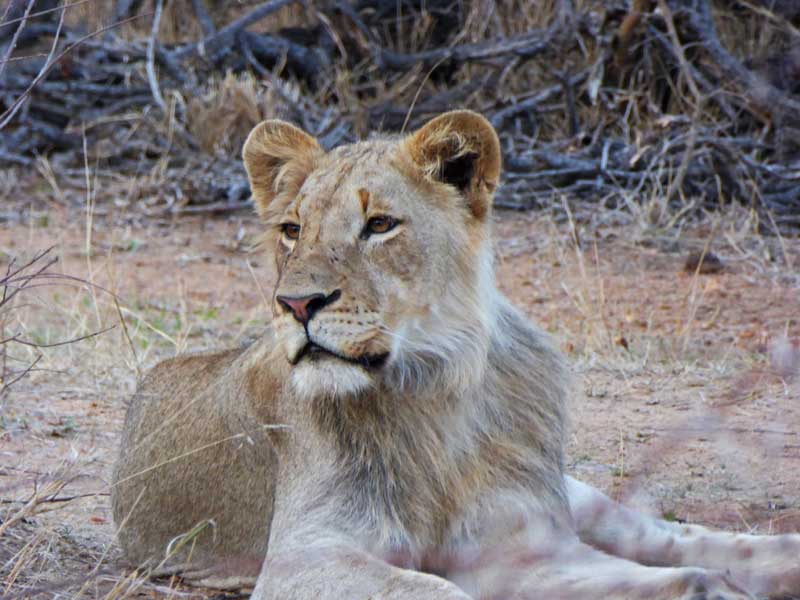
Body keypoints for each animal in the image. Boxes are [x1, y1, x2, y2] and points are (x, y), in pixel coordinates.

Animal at [112, 110, 800, 599]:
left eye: (380, 225)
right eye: (291, 230)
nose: (297, 304)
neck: (430, 388)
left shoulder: (517, 542)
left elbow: (677, 570)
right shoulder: (302, 558)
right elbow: (430, 589)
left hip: (569, 493)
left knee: (671, 536)